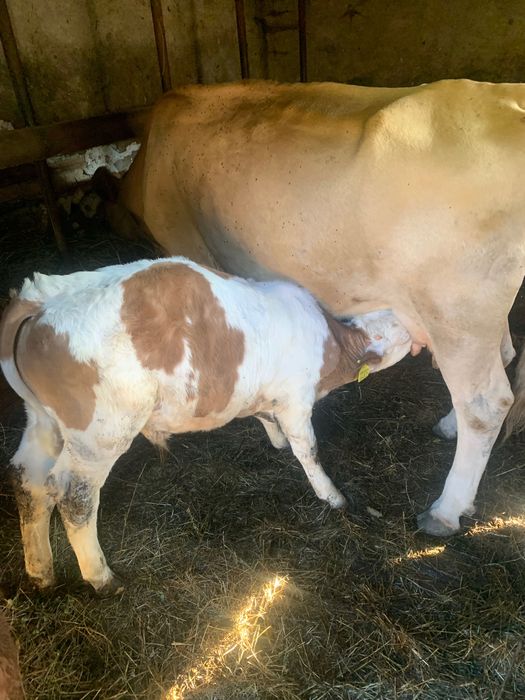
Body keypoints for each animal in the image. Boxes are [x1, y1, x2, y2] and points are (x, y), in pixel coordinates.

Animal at [0, 258, 411, 594]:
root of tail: (43, 296)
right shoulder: (297, 400)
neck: (329, 342)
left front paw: (275, 440)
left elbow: (267, 419)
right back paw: (102, 578)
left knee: (27, 478)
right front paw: (333, 496)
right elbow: (307, 450)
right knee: (74, 496)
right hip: (99, 434)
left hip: (44, 421)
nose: (416, 333)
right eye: (397, 329)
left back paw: (41, 573)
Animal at [95, 78, 525, 538]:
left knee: (484, 404)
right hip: (483, 314)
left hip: (456, 313)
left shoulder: (190, 249)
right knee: (502, 356)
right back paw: (448, 425)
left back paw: (445, 509)